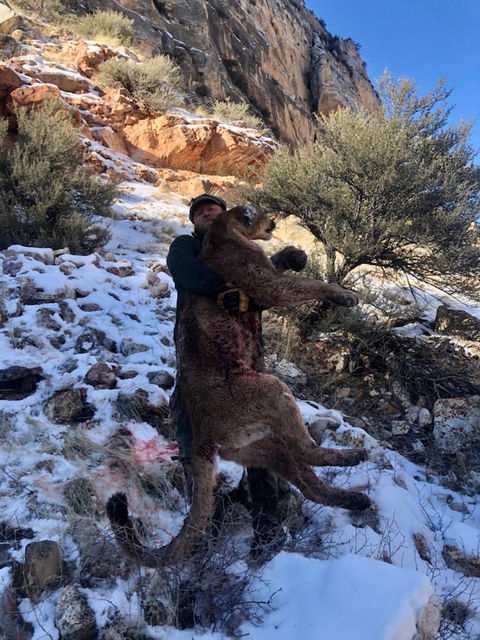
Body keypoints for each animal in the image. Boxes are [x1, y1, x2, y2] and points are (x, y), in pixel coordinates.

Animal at [107, 205, 371, 565]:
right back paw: (353, 457)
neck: (223, 229)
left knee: (305, 481)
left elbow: (284, 265)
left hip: (264, 446)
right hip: (272, 390)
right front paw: (345, 296)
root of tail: (203, 432)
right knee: (305, 450)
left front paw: (294, 254)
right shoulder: (269, 285)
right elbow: (309, 283)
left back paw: (355, 497)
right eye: (261, 214)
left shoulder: (266, 276)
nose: (274, 222)